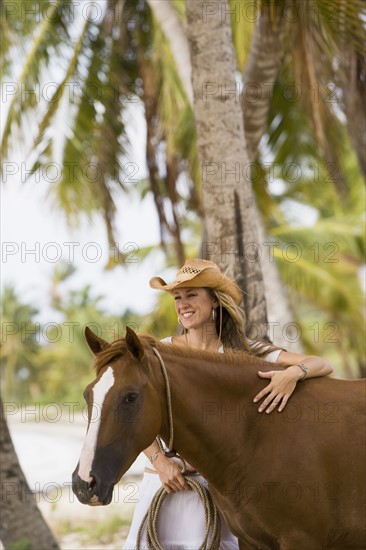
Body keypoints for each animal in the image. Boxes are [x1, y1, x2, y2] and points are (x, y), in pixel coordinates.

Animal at [72, 330, 366, 548]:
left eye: (130, 397)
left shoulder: (300, 541)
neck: (256, 433)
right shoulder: (250, 541)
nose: (84, 483)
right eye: (87, 394)